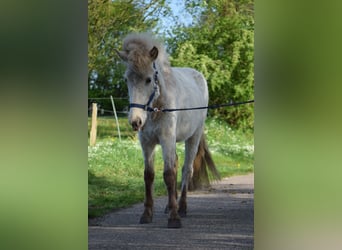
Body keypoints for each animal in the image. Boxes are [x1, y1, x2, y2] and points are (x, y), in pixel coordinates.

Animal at [116, 33, 220, 229]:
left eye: (149, 79)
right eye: (126, 80)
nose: (135, 121)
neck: (157, 107)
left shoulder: (166, 139)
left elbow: (169, 174)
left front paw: (174, 217)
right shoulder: (147, 143)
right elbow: (149, 175)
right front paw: (147, 214)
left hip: (192, 138)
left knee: (186, 169)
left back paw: (182, 207)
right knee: (177, 163)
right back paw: (170, 206)